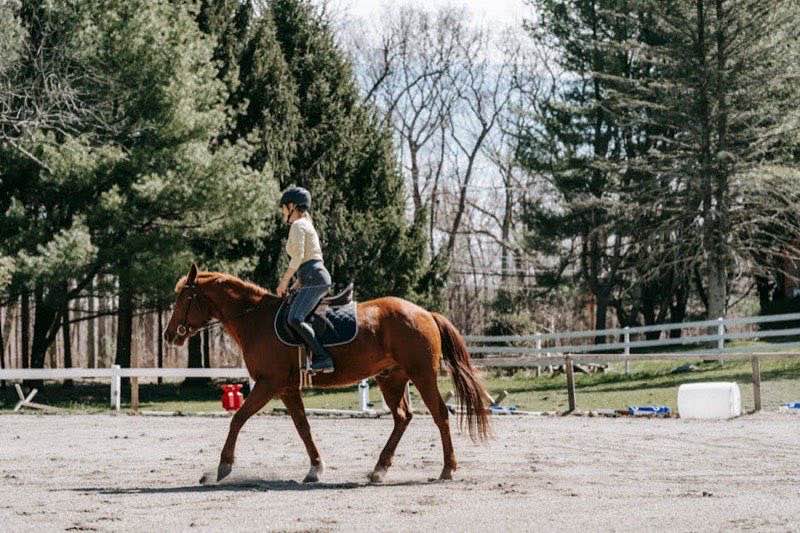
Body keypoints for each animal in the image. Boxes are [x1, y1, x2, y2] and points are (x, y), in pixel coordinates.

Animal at [162, 264, 490, 484]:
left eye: (184, 299)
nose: (169, 335)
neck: (255, 320)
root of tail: (425, 313)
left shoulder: (268, 384)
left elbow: (238, 418)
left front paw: (223, 466)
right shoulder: (287, 389)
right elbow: (303, 427)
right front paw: (315, 468)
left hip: (421, 375)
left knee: (439, 414)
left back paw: (447, 469)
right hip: (392, 378)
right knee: (402, 417)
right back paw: (379, 469)